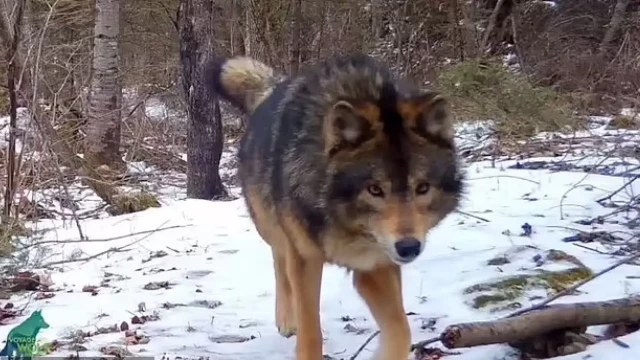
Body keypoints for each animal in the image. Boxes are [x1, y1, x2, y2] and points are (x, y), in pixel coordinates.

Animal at [210, 54, 464, 360]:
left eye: (422, 188)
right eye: (375, 189)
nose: (408, 247)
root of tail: (270, 90)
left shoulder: (375, 264)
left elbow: (401, 330)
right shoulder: (305, 259)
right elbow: (310, 333)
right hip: (272, 228)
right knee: (279, 261)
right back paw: (286, 320)